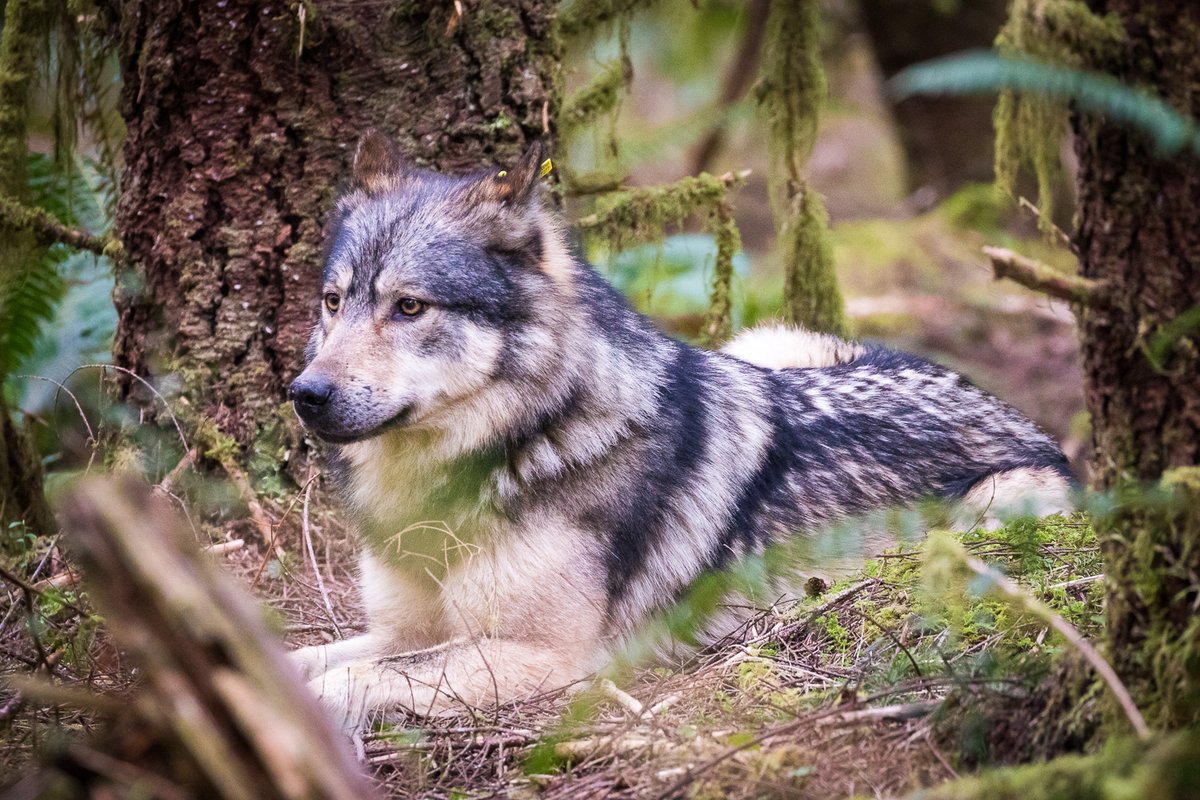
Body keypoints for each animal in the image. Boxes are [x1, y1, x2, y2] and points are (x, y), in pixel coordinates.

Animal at [288, 131, 1073, 734]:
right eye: (333, 301)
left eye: (409, 307)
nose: (305, 395)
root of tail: (1011, 411)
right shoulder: (404, 632)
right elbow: (305, 660)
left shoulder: (541, 657)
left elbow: (349, 680)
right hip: (766, 344)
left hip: (996, 508)